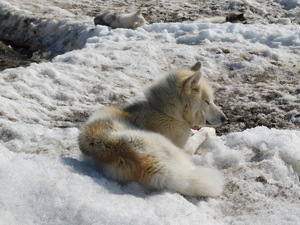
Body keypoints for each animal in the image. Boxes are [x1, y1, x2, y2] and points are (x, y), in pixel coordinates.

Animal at [78, 62, 226, 197]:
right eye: (207, 102)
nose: (225, 118)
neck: (165, 112)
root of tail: (146, 163)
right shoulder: (185, 146)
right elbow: (203, 133)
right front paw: (209, 132)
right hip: (176, 153)